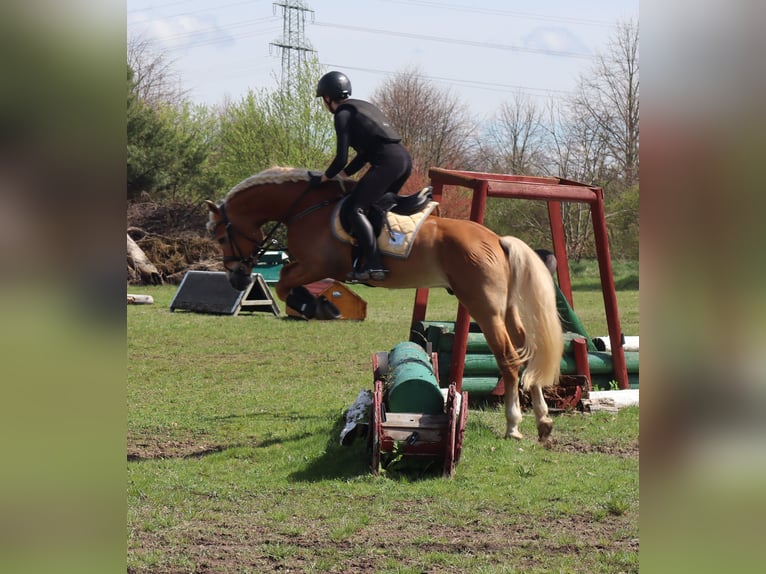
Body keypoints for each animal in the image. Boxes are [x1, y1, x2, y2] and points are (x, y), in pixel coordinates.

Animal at [207, 168, 568, 446]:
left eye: (222, 237)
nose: (237, 280)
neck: (307, 207)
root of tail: (496, 240)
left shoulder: (316, 265)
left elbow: (283, 283)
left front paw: (317, 307)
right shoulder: (311, 267)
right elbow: (284, 282)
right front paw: (319, 305)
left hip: (484, 307)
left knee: (508, 358)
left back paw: (513, 425)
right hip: (505, 308)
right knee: (525, 349)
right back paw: (543, 421)